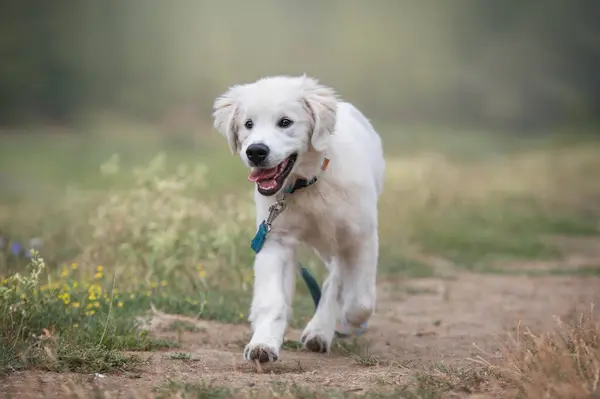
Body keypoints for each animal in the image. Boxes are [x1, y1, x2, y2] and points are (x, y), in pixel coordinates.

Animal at [213, 76, 386, 366]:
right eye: (248, 124)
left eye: (285, 122)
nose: (255, 151)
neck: (308, 184)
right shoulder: (275, 240)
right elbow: (272, 300)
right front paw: (263, 343)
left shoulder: (361, 236)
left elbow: (361, 300)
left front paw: (350, 318)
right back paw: (319, 332)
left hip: (339, 239)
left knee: (338, 280)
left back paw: (322, 329)